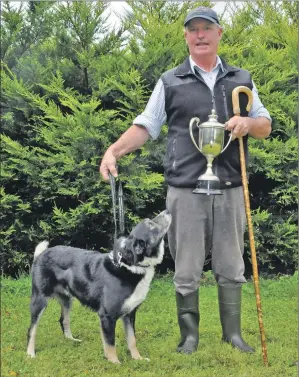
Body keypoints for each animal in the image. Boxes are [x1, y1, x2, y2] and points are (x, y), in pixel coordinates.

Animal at [27, 209, 172, 362]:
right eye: (150, 224)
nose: (167, 210)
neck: (130, 267)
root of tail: (41, 254)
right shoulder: (107, 316)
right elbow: (110, 343)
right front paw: (115, 362)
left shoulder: (129, 314)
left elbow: (132, 340)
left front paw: (138, 358)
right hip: (39, 301)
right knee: (32, 330)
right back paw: (30, 353)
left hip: (67, 300)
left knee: (63, 320)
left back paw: (71, 340)